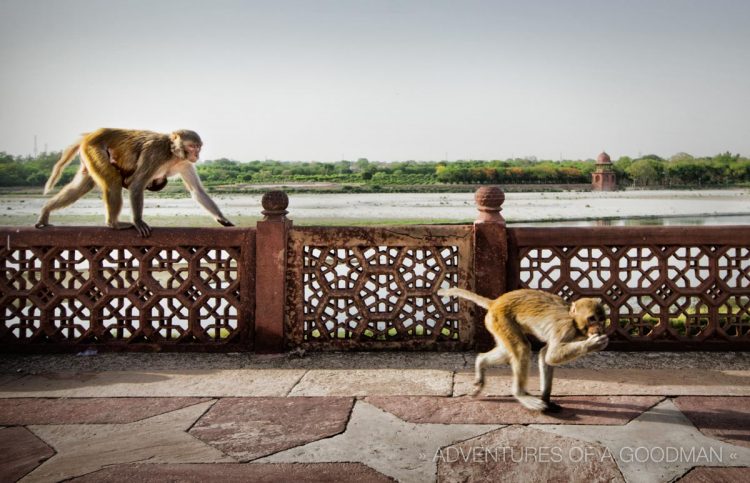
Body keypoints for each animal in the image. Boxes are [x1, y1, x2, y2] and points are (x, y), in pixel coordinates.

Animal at [35, 127, 234, 235]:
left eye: (199, 147)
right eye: (193, 146)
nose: (197, 154)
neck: (172, 153)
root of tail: (90, 135)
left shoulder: (184, 163)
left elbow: (196, 191)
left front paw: (222, 219)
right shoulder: (155, 153)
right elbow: (136, 184)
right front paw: (138, 221)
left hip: (88, 155)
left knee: (81, 186)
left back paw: (46, 210)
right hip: (95, 149)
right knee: (113, 181)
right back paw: (114, 224)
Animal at [440, 288, 612, 412]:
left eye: (602, 319)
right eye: (592, 319)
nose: (599, 329)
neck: (574, 322)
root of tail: (495, 302)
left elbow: (545, 355)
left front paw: (546, 399)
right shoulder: (564, 329)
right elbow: (551, 356)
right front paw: (593, 344)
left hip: (496, 324)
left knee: (507, 351)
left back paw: (480, 362)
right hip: (501, 319)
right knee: (522, 348)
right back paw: (521, 394)